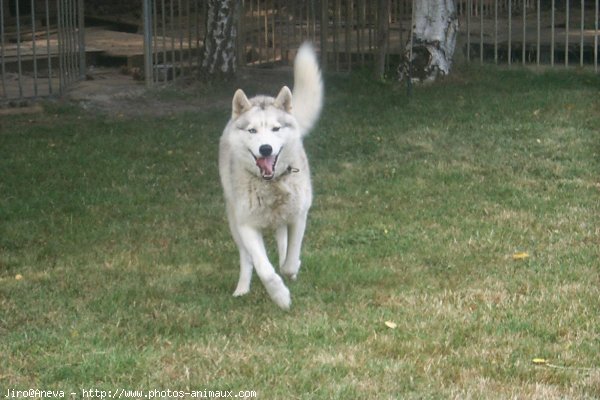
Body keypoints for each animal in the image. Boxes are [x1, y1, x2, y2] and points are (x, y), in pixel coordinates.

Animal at [218, 43, 324, 310]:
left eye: (276, 129)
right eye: (252, 130)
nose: (265, 149)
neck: (271, 185)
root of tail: (260, 97)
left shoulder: (299, 216)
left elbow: (290, 259)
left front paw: (291, 270)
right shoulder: (246, 226)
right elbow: (264, 269)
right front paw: (281, 297)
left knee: (283, 241)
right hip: (233, 221)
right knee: (246, 260)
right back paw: (242, 289)